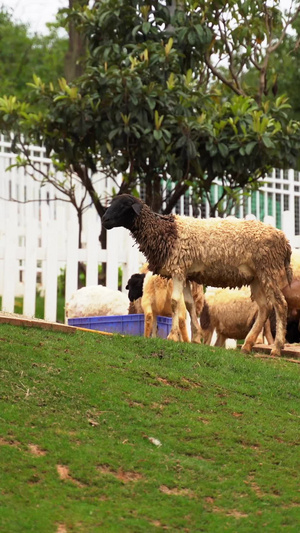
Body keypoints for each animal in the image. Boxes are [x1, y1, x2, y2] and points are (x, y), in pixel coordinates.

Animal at [102, 193, 292, 356]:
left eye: (124, 205)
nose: (104, 220)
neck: (166, 231)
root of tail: (284, 240)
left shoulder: (178, 269)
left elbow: (174, 302)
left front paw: (173, 336)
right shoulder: (186, 274)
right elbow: (188, 304)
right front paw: (195, 338)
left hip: (268, 270)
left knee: (280, 304)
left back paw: (276, 348)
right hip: (257, 277)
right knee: (264, 307)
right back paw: (247, 345)